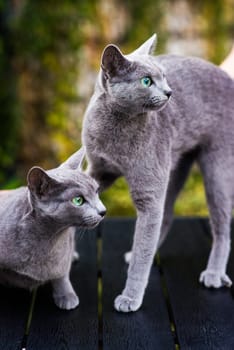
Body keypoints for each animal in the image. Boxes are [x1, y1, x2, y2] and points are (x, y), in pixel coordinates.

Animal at [0, 148, 105, 308]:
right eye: (78, 200)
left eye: (97, 191)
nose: (103, 211)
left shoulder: (62, 255)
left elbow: (61, 274)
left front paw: (66, 296)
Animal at [82, 33, 234, 312]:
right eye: (146, 81)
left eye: (164, 77)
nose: (169, 92)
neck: (116, 129)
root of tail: (226, 76)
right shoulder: (101, 170)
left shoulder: (147, 190)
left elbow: (144, 241)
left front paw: (130, 298)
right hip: (173, 166)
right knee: (166, 214)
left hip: (216, 166)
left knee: (221, 226)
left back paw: (214, 273)